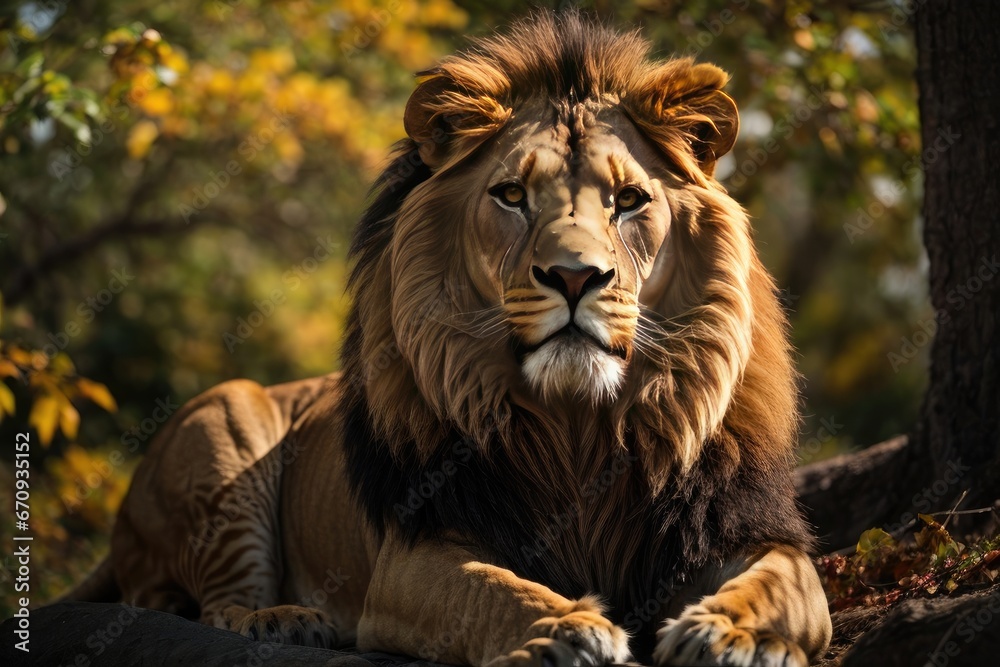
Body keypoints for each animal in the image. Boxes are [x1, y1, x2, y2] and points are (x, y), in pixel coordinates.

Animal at [67, 12, 832, 667]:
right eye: (512, 196)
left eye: (629, 201)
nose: (575, 275)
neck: (577, 427)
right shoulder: (415, 551)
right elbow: (493, 590)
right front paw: (566, 628)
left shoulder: (740, 529)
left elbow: (782, 582)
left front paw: (730, 632)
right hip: (225, 419)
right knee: (196, 604)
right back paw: (282, 619)